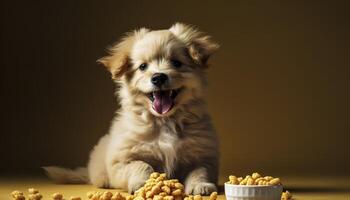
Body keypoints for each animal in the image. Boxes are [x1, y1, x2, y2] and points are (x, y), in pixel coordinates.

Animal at [43, 22, 219, 195]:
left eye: (176, 63)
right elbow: (142, 165)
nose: (158, 77)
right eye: (143, 67)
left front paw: (201, 185)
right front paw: (142, 184)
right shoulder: (122, 160)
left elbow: (200, 170)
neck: (164, 121)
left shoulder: (204, 156)